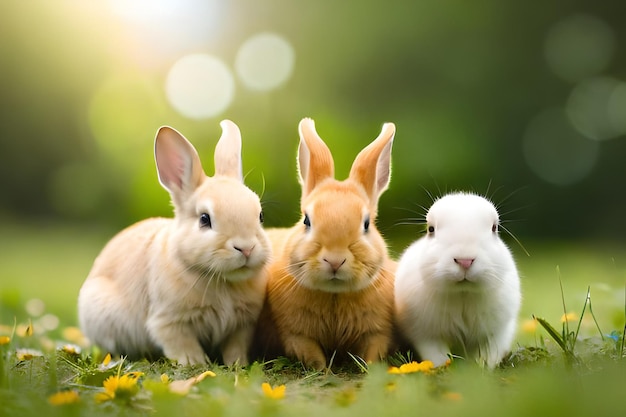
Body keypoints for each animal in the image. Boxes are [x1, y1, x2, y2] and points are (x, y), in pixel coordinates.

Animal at [77, 120, 270, 364]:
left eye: (260, 216)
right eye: (204, 219)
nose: (246, 248)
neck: (222, 280)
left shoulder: (242, 325)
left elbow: (235, 348)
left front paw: (238, 365)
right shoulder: (169, 321)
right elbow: (183, 345)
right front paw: (196, 363)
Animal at [258, 117, 394, 368]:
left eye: (366, 224)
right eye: (306, 221)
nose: (335, 260)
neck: (334, 295)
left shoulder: (377, 332)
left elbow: (372, 352)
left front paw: (370, 370)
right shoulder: (295, 334)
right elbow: (312, 355)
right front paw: (323, 370)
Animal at [392, 192, 520, 368]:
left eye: (494, 228)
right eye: (431, 229)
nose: (465, 261)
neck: (463, 294)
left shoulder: (498, 332)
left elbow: (490, 354)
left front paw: (483, 368)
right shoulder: (426, 335)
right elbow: (437, 356)